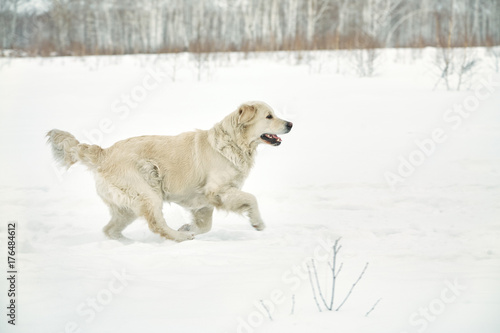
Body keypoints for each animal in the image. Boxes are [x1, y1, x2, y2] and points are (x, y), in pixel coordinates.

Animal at [47, 101, 292, 241]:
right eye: (269, 116)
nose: (290, 124)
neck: (233, 143)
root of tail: (104, 152)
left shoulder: (203, 202)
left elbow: (205, 226)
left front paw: (188, 226)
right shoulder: (217, 190)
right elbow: (251, 198)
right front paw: (258, 222)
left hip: (127, 207)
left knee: (110, 230)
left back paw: (131, 243)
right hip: (147, 193)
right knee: (157, 225)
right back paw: (179, 238)